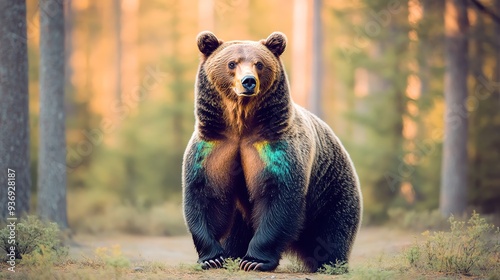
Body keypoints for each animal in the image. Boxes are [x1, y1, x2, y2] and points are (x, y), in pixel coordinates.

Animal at [182, 31, 362, 272]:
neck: (240, 125)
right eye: (232, 63)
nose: (248, 81)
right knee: (237, 230)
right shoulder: (213, 147)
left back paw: (330, 263)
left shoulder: (275, 148)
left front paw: (254, 260)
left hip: (331, 187)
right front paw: (212, 257)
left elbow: (277, 197)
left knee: (333, 228)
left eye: (259, 64)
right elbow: (205, 193)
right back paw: (231, 253)